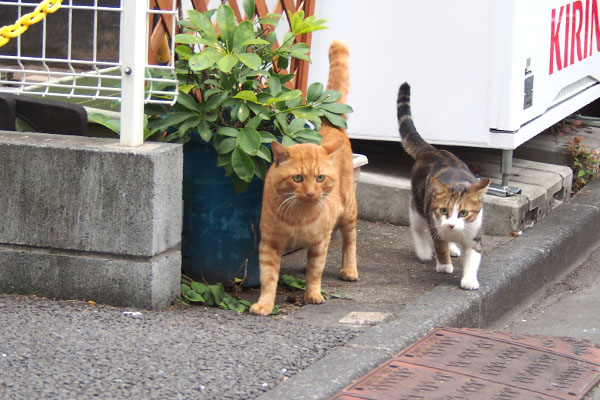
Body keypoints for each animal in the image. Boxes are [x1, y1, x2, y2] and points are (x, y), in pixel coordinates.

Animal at [248, 40, 356, 316]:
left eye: (320, 178)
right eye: (297, 178)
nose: (310, 193)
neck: (299, 218)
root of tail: (329, 122)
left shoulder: (319, 242)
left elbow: (317, 272)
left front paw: (314, 294)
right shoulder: (270, 243)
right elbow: (268, 278)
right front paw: (265, 304)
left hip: (349, 211)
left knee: (350, 241)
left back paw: (350, 269)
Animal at [396, 83, 490, 290]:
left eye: (464, 213)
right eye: (444, 210)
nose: (452, 224)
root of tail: (432, 150)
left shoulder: (475, 236)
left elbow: (473, 258)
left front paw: (469, 279)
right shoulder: (435, 222)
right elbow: (439, 245)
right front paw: (444, 265)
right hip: (419, 203)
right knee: (417, 226)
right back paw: (424, 250)